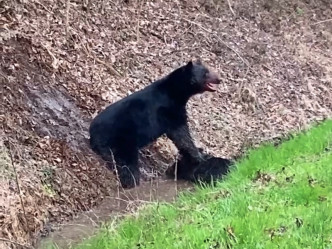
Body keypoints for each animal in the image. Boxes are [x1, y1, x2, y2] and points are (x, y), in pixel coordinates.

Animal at [89, 60, 220, 188]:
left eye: (208, 70)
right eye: (206, 73)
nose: (219, 79)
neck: (175, 92)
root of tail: (92, 134)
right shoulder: (169, 111)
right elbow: (181, 134)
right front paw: (200, 156)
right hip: (121, 141)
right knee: (127, 164)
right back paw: (131, 182)